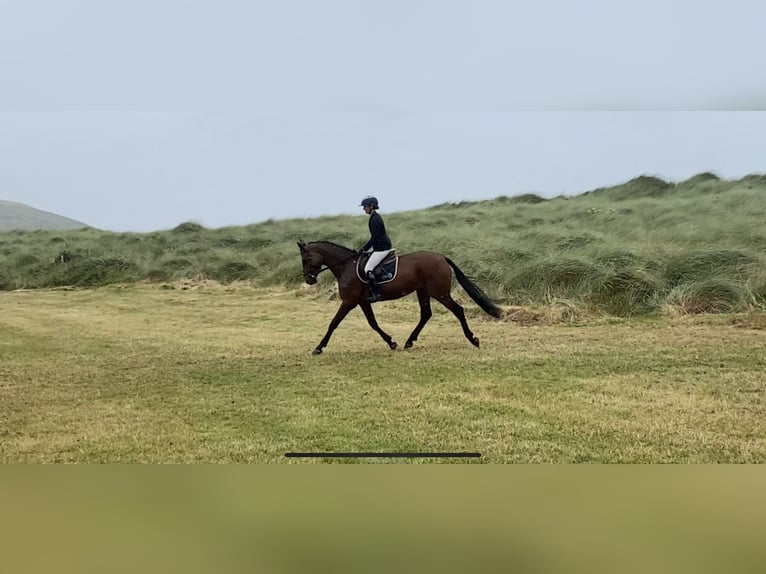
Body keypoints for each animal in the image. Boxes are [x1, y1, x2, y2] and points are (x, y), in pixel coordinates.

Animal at [296, 240, 504, 356]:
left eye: (306, 259)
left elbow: (333, 323)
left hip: (439, 293)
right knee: (426, 314)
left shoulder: (349, 302)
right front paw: (391, 342)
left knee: (458, 310)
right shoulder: (362, 302)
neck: (346, 266)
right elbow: (373, 323)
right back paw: (409, 341)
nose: (309, 280)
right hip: (423, 292)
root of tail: (442, 258)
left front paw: (319, 348)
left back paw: (473, 339)